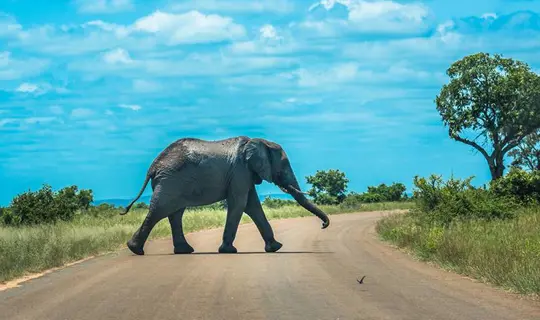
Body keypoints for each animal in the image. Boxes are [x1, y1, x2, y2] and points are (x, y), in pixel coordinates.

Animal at [121, 135, 330, 255]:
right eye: (284, 166)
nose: (323, 225)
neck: (260, 142)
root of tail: (153, 166)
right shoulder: (240, 171)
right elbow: (240, 204)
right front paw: (229, 251)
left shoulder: (245, 173)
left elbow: (252, 206)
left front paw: (275, 247)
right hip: (170, 181)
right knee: (160, 210)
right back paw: (136, 250)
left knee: (175, 213)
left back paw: (183, 251)